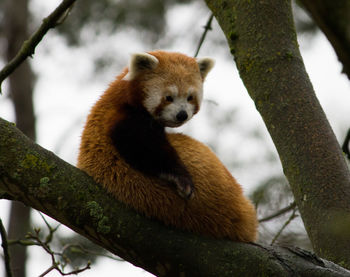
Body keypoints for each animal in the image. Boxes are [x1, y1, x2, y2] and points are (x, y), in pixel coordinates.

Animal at [78, 50, 258, 240]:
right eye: (169, 98)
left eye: (190, 97)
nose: (182, 114)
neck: (123, 96)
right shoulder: (120, 118)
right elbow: (144, 148)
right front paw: (181, 179)